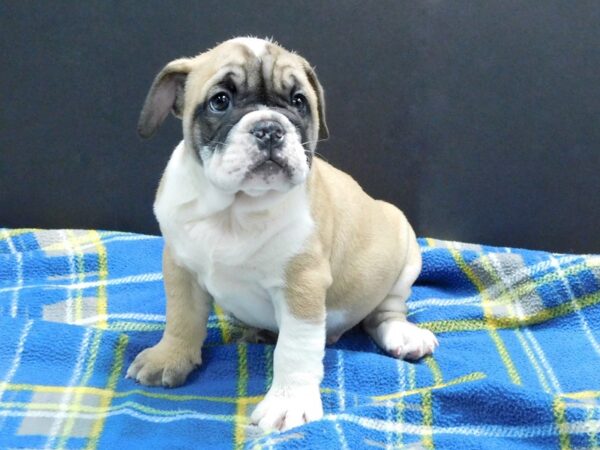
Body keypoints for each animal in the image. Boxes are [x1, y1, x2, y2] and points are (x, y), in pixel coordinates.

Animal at [126, 37, 438, 430]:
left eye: (299, 101)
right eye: (220, 100)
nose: (270, 128)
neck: (233, 209)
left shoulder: (301, 285)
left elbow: (295, 350)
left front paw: (289, 402)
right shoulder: (181, 268)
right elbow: (182, 318)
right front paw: (168, 357)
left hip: (403, 253)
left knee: (386, 311)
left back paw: (403, 335)